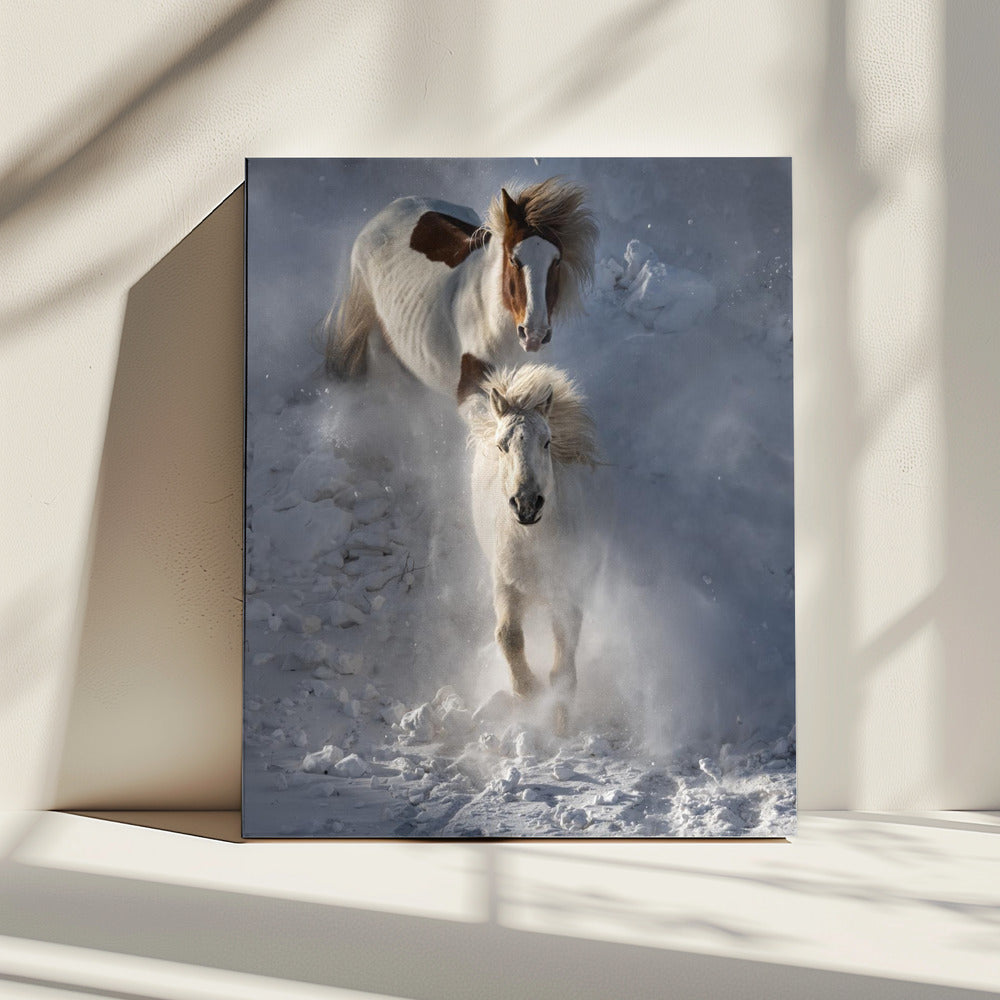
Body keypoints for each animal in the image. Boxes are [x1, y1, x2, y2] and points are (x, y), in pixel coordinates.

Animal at [463, 363, 600, 734]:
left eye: (547, 441)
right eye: (502, 446)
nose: (526, 504)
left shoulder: (567, 593)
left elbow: (563, 665)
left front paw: (561, 723)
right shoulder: (506, 585)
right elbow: (508, 636)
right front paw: (528, 691)